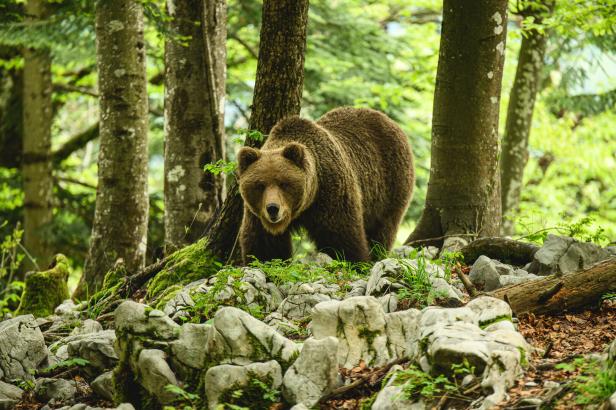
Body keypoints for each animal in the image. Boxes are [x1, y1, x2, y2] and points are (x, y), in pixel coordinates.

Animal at [236, 106, 414, 262]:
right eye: (260, 185)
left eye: (283, 183)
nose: (273, 208)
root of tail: (387, 119)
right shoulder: (256, 213)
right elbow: (264, 243)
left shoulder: (331, 193)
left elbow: (341, 236)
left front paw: (356, 260)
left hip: (390, 186)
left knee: (382, 228)